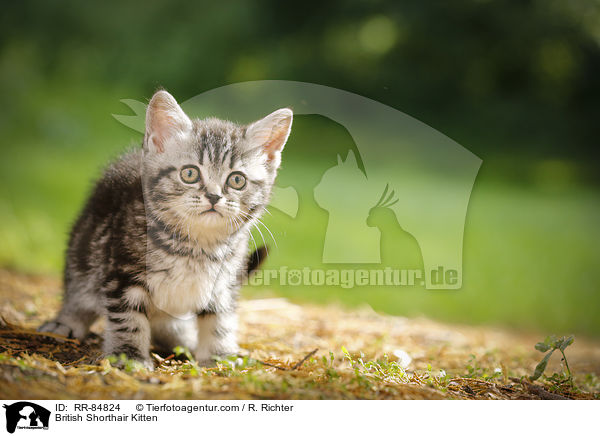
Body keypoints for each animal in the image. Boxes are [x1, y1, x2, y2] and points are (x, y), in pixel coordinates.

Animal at [38, 89, 292, 368]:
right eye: (190, 174)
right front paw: (130, 355)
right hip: (83, 247)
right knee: (79, 289)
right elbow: (128, 320)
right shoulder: (122, 273)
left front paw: (220, 356)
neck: (196, 246)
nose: (214, 196)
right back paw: (66, 322)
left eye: (237, 180)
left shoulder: (223, 284)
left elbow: (220, 320)